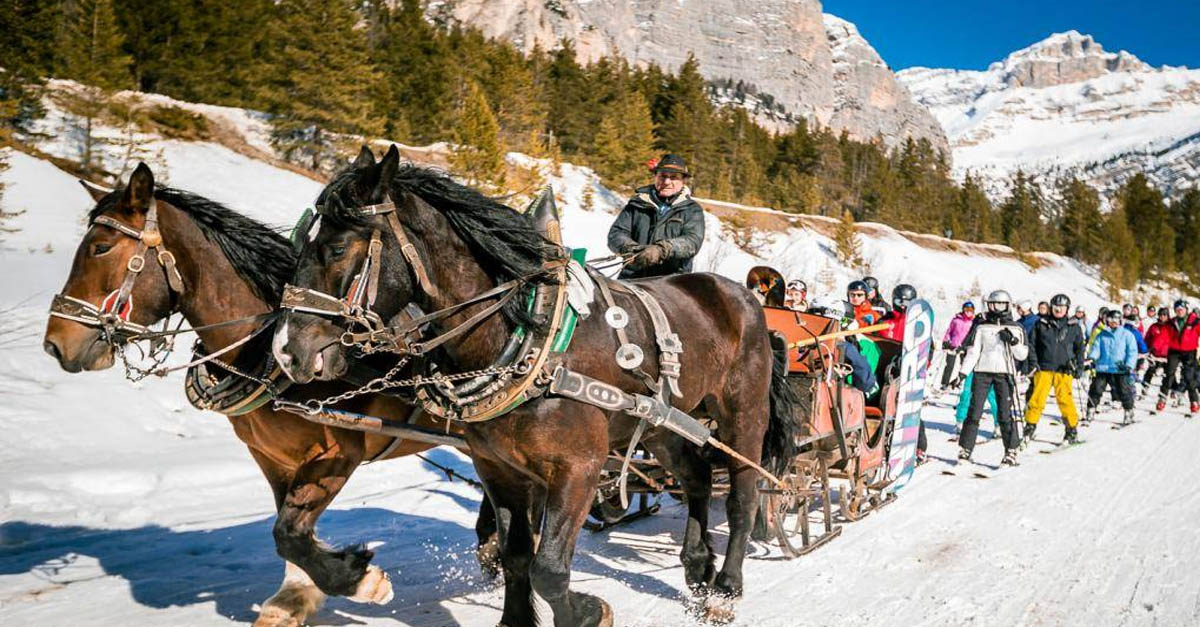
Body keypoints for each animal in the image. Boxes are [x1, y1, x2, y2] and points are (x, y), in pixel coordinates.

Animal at [42, 163, 492, 624]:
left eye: (100, 247)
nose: (56, 343)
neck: (263, 352)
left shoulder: (337, 453)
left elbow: (288, 531)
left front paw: (360, 582)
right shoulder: (273, 458)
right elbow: (289, 533)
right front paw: (294, 596)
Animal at [272, 144, 796, 619]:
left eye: (337, 248)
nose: (286, 351)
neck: (526, 335)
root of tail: (742, 296)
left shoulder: (579, 467)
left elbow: (549, 569)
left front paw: (587, 612)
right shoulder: (497, 467)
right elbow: (517, 556)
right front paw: (516, 617)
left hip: (743, 413)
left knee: (745, 494)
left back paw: (726, 586)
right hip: (661, 424)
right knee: (697, 477)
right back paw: (697, 565)